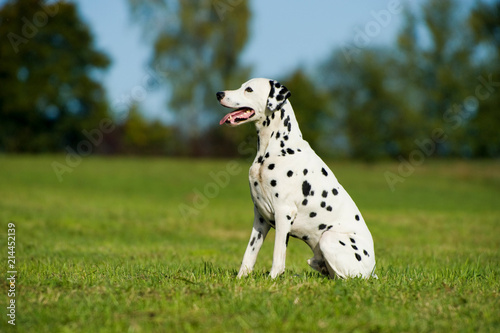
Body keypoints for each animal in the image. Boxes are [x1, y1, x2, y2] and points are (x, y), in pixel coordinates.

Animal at [215, 78, 376, 278]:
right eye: (242, 86)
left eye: (249, 89)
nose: (219, 94)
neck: (276, 148)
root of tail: (372, 270)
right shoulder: (260, 217)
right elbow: (249, 255)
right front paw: (240, 279)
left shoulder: (283, 213)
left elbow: (278, 256)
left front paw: (272, 279)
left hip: (328, 238)